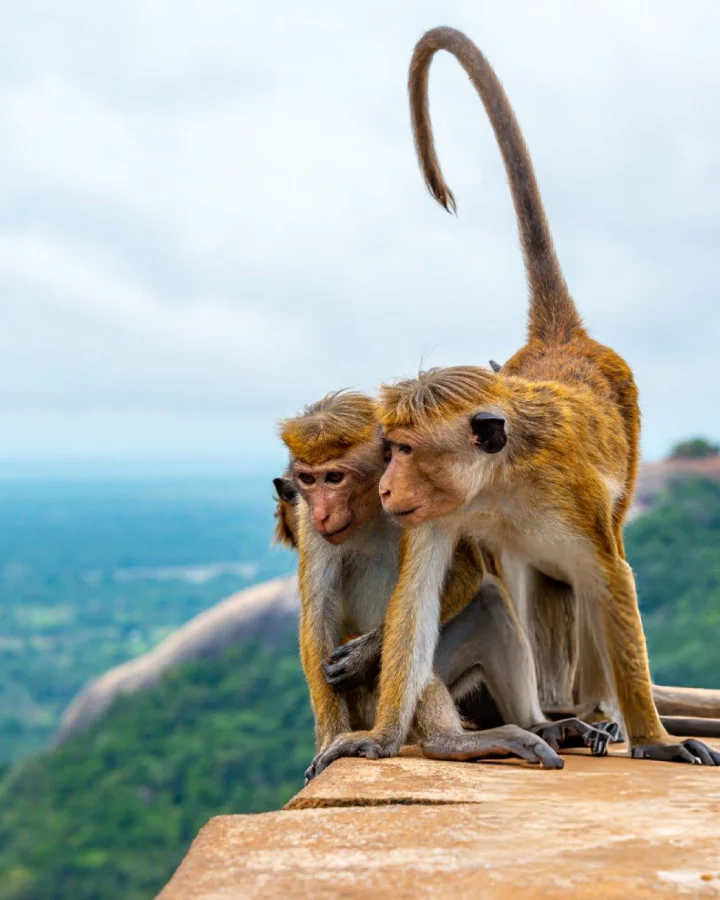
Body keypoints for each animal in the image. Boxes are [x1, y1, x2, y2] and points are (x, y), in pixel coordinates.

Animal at [307, 26, 720, 775]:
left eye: (403, 449)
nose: (385, 488)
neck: (495, 483)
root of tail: (563, 341)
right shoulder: (437, 514)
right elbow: (418, 598)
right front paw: (379, 735)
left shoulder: (569, 494)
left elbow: (611, 578)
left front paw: (656, 739)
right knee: (528, 585)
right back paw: (552, 717)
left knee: (584, 584)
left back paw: (597, 715)